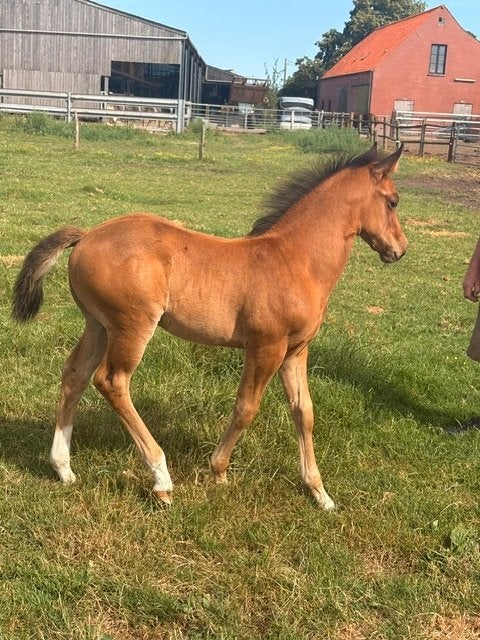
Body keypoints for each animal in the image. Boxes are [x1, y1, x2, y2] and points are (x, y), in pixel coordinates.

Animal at [12, 143, 407, 510]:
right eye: (393, 201)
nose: (399, 250)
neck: (294, 260)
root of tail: (87, 235)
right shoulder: (266, 347)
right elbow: (246, 407)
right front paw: (218, 471)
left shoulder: (296, 350)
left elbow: (304, 412)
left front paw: (320, 494)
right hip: (132, 326)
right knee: (111, 381)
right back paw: (161, 479)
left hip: (98, 325)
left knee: (75, 374)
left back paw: (63, 468)